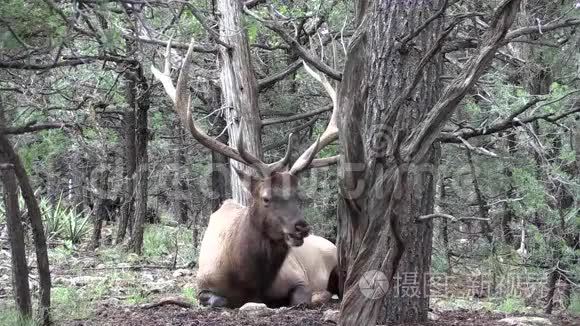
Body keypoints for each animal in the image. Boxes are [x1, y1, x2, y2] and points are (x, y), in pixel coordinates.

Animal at [151, 38, 340, 308]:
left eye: (299, 196)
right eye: (266, 198)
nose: (301, 227)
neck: (250, 281)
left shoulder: (298, 278)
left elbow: (300, 299)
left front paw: (316, 296)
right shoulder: (203, 287)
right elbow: (217, 300)